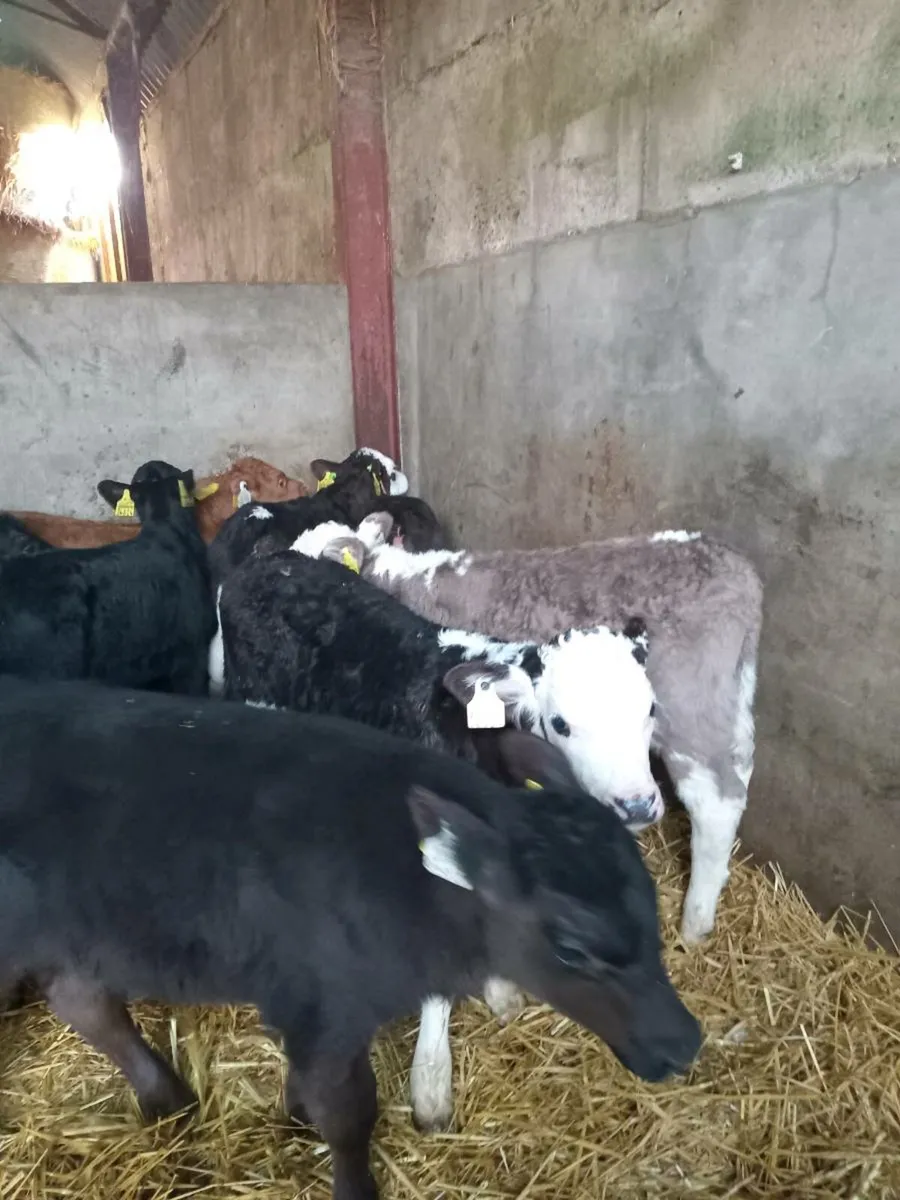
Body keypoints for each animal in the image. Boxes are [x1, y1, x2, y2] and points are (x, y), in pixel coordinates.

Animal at [0, 675, 701, 1200]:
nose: (684, 1042)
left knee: (82, 999)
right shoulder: (325, 1009)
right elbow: (348, 1113)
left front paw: (292, 1114)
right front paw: (352, 1184)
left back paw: (167, 1096)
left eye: (651, 906)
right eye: (570, 947)